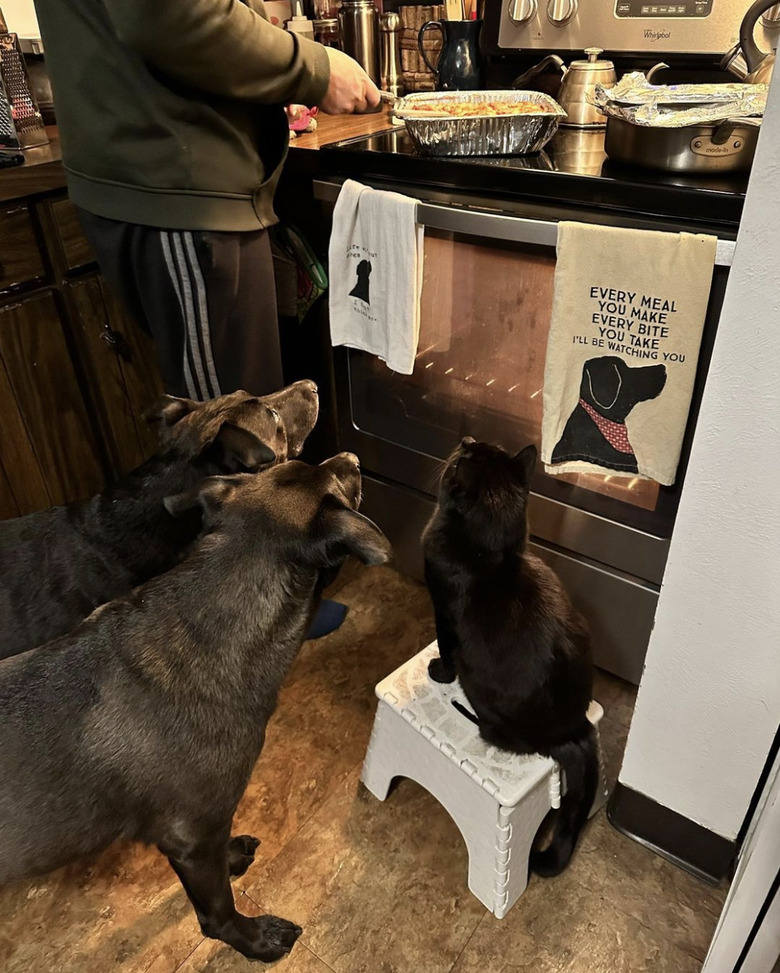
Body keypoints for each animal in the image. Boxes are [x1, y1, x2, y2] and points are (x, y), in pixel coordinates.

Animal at [0, 452, 390, 960]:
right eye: (340, 487)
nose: (353, 457)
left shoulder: (205, 833)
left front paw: (233, 856)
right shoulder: (193, 836)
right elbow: (218, 910)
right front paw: (253, 939)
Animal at [424, 436, 596, 876]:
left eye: (465, 457)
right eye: (482, 445)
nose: (465, 439)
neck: (492, 556)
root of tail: (571, 730)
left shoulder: (442, 611)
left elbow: (443, 646)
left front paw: (437, 671)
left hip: (479, 688)